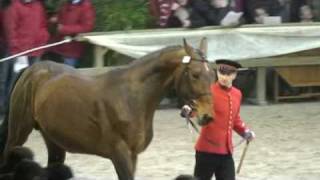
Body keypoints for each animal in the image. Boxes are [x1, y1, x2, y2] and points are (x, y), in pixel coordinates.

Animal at [0, 38, 215, 179]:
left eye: (212, 74)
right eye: (195, 74)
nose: (207, 116)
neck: (132, 97)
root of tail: (31, 71)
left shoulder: (133, 156)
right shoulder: (120, 154)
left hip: (53, 140)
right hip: (18, 133)